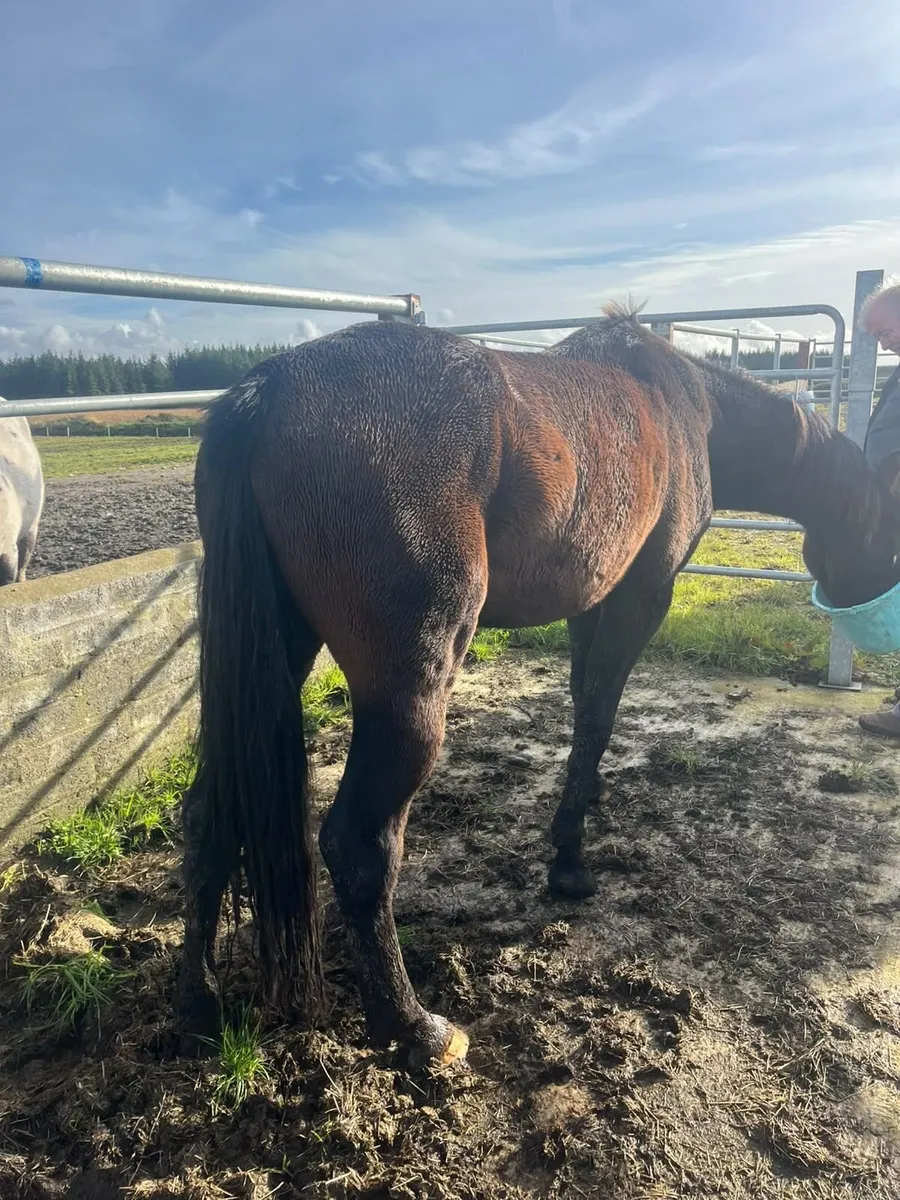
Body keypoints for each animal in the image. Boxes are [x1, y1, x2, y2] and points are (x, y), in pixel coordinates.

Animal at [176, 309, 900, 1067]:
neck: (690, 405)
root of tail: (269, 388)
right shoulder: (643, 596)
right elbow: (600, 713)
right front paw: (570, 863)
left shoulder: (592, 598)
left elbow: (585, 703)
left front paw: (589, 799)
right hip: (409, 694)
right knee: (358, 845)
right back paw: (415, 1028)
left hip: (279, 656)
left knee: (208, 814)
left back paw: (198, 1005)